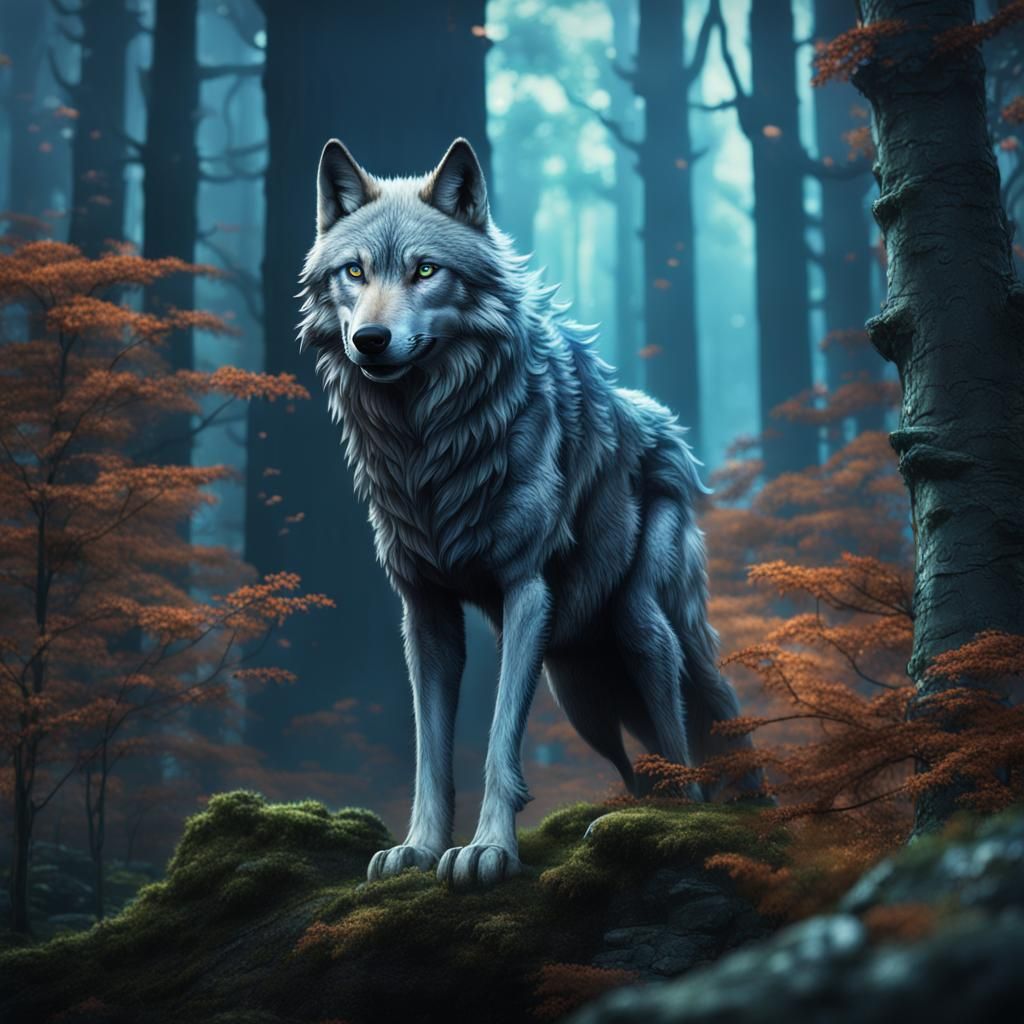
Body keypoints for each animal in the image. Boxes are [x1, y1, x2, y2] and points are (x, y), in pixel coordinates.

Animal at [298, 136, 756, 889]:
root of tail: (669, 430)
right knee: (640, 764)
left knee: (690, 736)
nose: (370, 339)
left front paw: (487, 850)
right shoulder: (424, 610)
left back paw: (686, 816)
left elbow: (497, 743)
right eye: (354, 271)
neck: (427, 441)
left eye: (426, 270)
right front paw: (418, 848)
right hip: (580, 693)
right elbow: (430, 750)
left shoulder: (525, 590)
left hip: (643, 628)